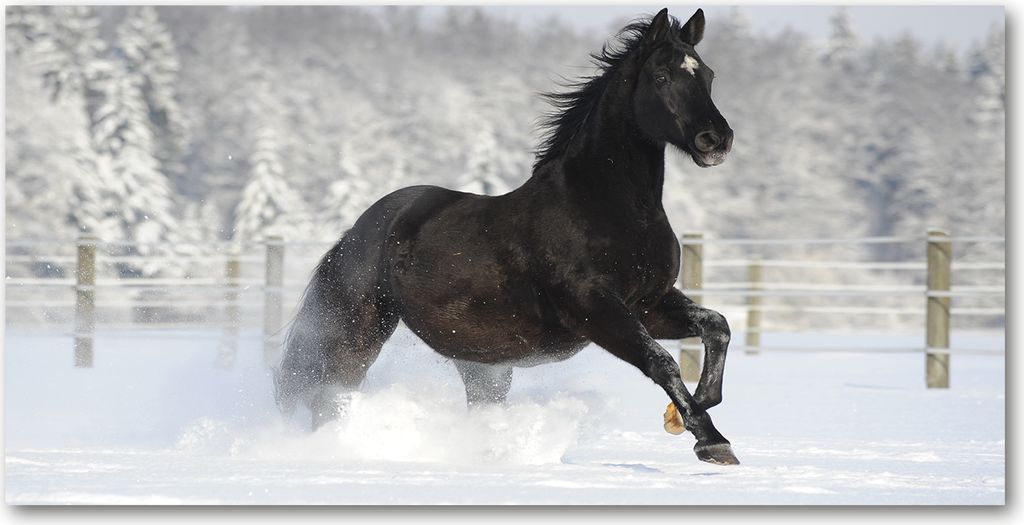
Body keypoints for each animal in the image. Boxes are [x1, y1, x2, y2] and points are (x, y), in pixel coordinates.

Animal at [274, 7, 738, 466]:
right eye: (662, 76)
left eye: (709, 75)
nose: (716, 139)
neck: (606, 206)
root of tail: (360, 229)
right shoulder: (595, 309)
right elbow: (661, 361)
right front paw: (711, 441)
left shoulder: (648, 304)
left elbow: (717, 325)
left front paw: (686, 415)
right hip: (359, 330)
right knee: (329, 394)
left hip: (481, 363)